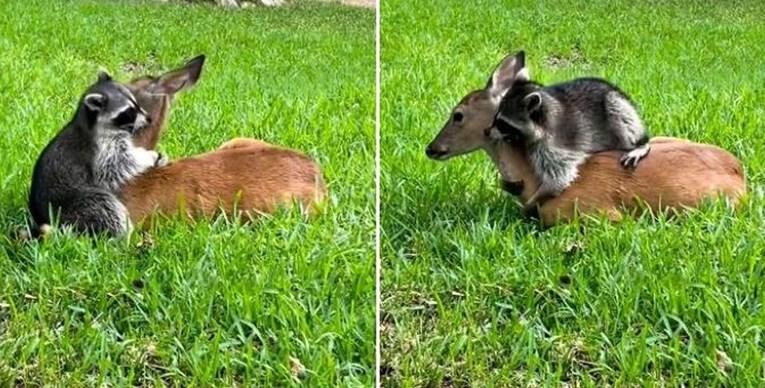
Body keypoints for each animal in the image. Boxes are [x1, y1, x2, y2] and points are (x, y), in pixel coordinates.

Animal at [29, 72, 166, 236]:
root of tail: (40, 219)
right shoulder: (101, 148)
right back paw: (121, 235)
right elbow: (116, 165)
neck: (88, 121)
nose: (149, 119)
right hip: (73, 203)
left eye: (136, 104)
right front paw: (148, 156)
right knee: (105, 206)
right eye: (129, 111)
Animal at [492, 71, 648, 215]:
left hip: (615, 102)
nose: (488, 132)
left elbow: (558, 179)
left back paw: (641, 143)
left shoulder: (554, 145)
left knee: (619, 110)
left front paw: (533, 201)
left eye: (502, 123)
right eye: (497, 118)